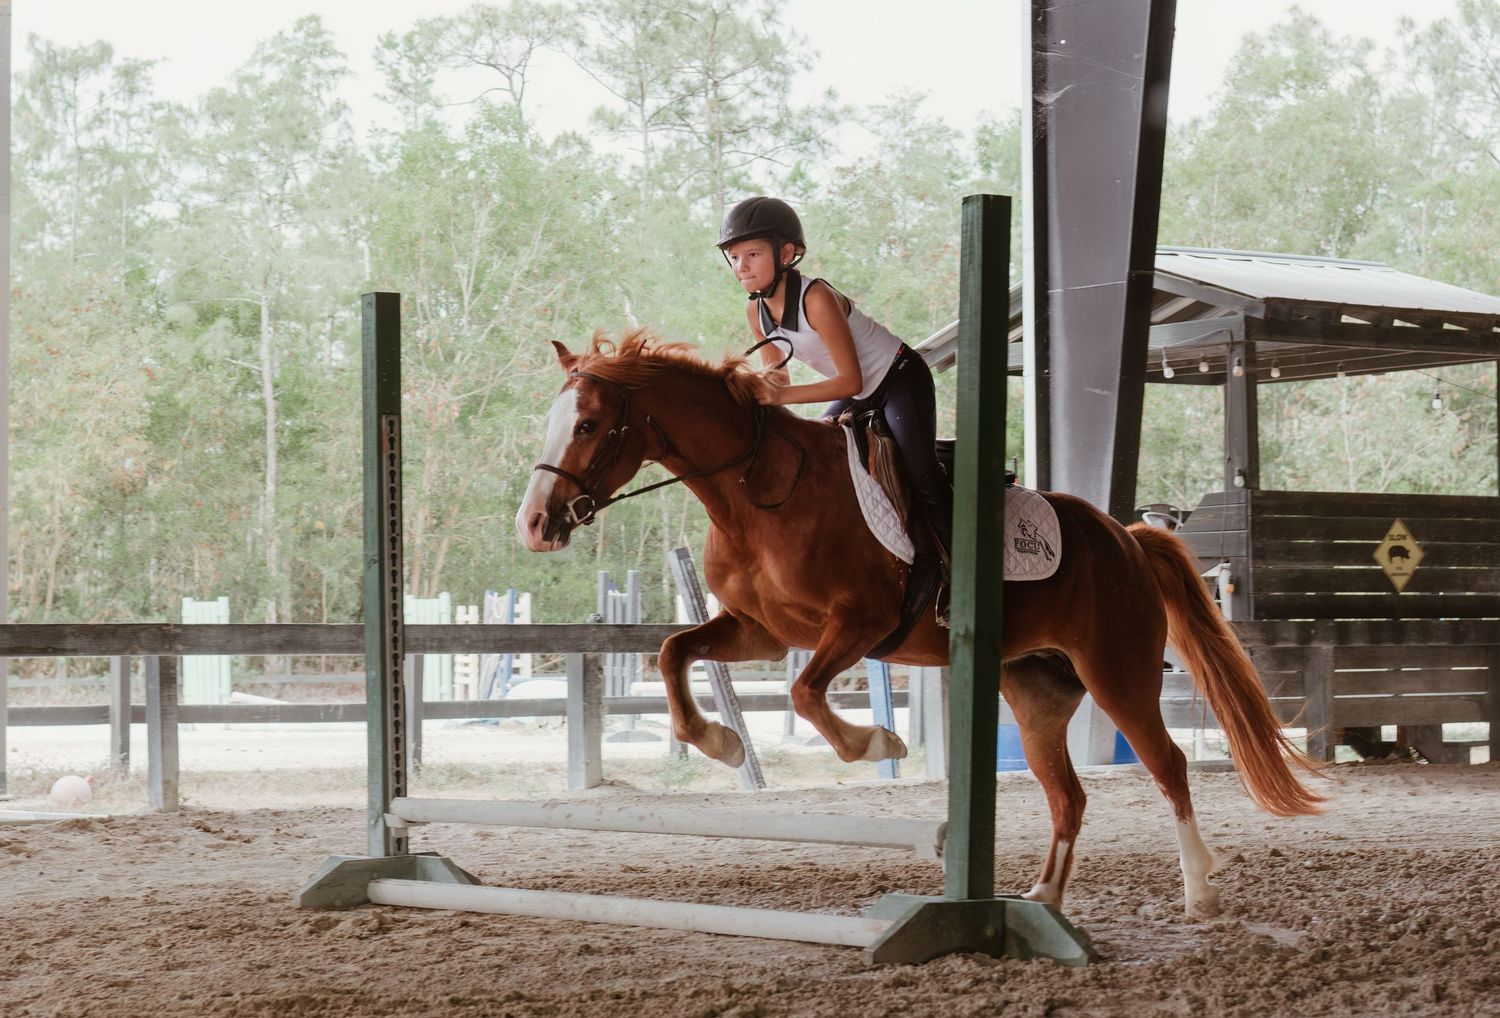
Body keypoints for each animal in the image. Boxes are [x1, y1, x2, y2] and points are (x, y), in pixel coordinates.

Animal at [515, 330, 1324, 919]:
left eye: (588, 424)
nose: (534, 526)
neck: (759, 492)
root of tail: (1124, 536)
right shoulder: (760, 630)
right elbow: (674, 651)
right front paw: (717, 741)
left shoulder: (859, 623)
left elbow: (805, 694)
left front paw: (880, 741)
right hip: (1035, 692)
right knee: (1069, 794)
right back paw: (1043, 896)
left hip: (1118, 675)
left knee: (1169, 766)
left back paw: (1200, 889)